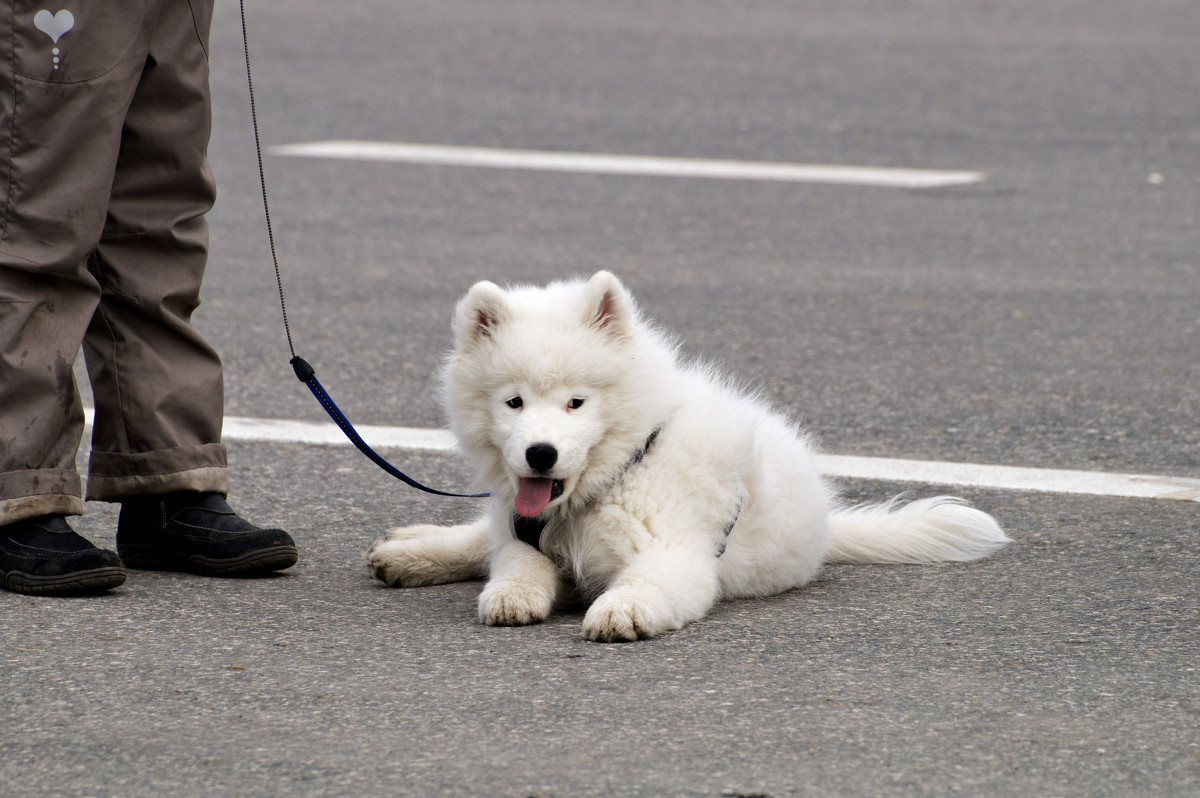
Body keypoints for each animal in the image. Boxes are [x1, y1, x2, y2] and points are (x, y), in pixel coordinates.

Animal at [367, 272, 1012, 643]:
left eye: (576, 401)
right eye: (514, 401)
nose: (540, 454)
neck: (617, 474)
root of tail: (828, 525)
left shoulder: (677, 555)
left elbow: (643, 583)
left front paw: (619, 610)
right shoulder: (524, 528)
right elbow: (515, 563)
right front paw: (512, 595)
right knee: (482, 535)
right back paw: (409, 552)